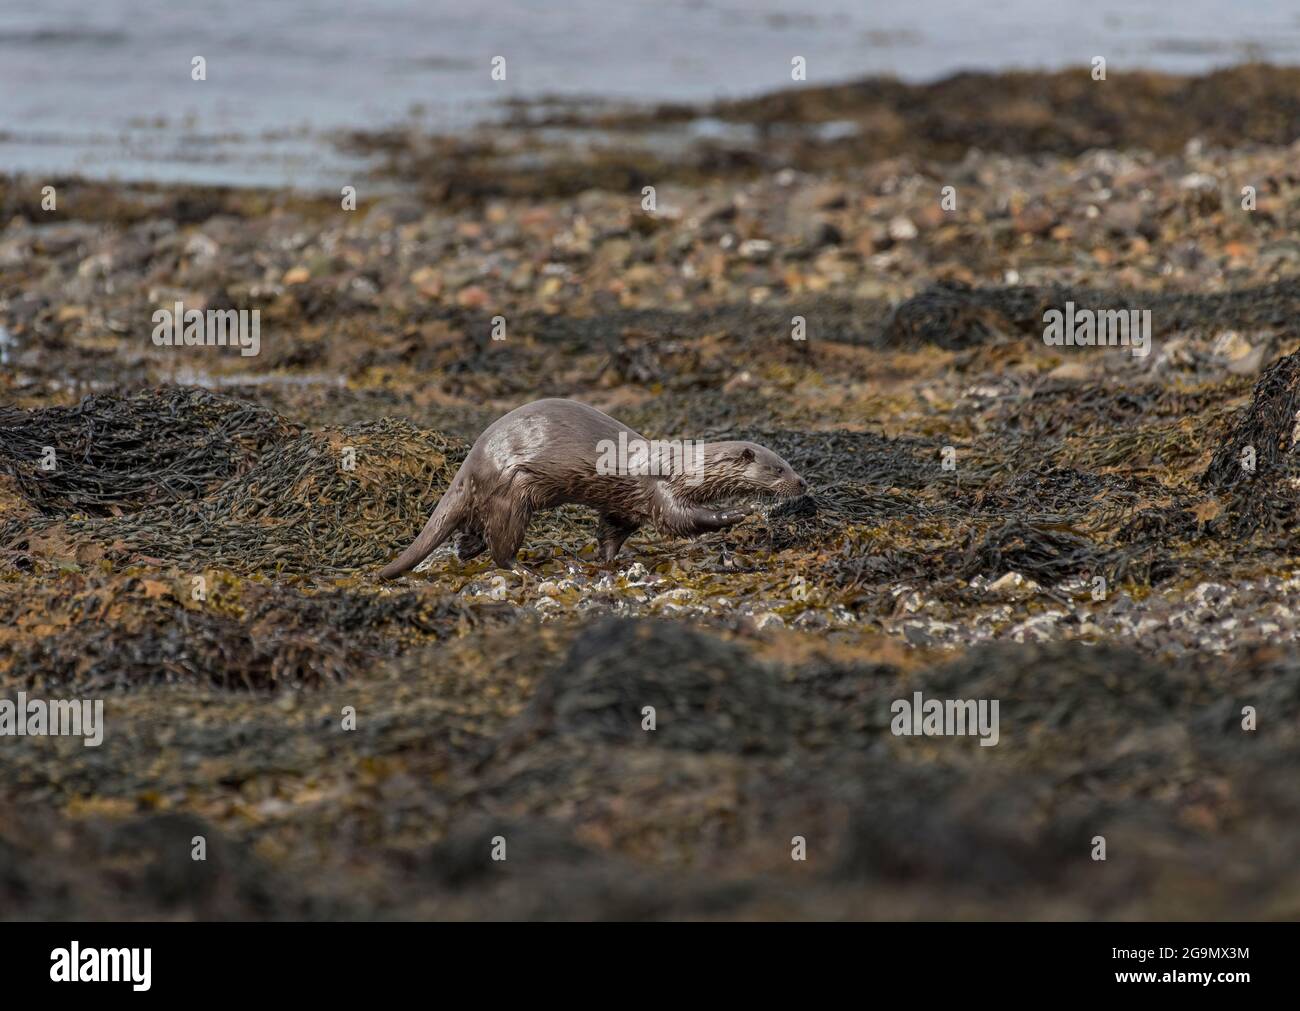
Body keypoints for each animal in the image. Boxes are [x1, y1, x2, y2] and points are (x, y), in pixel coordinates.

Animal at [379, 398, 807, 577]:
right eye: (779, 468)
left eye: (789, 464)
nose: (802, 482)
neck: (685, 467)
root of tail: (472, 461)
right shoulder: (660, 490)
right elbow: (680, 520)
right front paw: (739, 512)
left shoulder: (625, 506)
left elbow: (612, 532)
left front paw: (609, 560)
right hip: (512, 494)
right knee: (501, 546)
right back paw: (526, 570)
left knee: (472, 533)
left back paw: (467, 550)